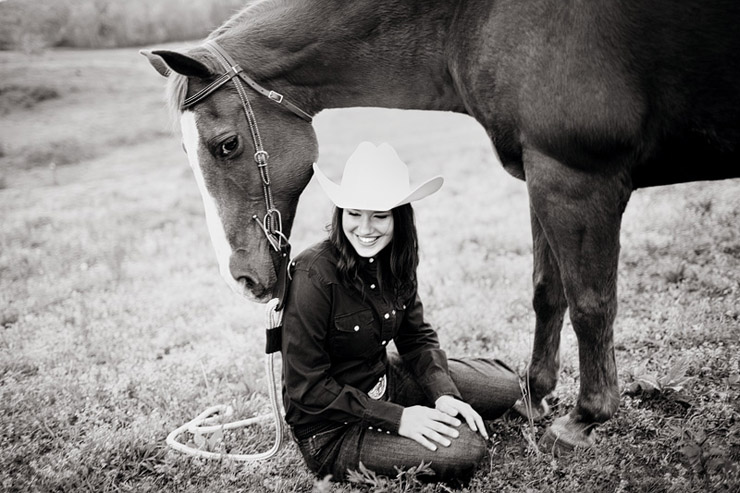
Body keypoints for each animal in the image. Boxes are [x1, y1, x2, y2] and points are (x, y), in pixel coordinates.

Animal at [142, 0, 740, 454]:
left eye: (226, 145)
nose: (242, 278)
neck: (472, 18)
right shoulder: (542, 178)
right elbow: (548, 293)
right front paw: (533, 395)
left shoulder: (575, 180)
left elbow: (591, 304)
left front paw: (584, 419)